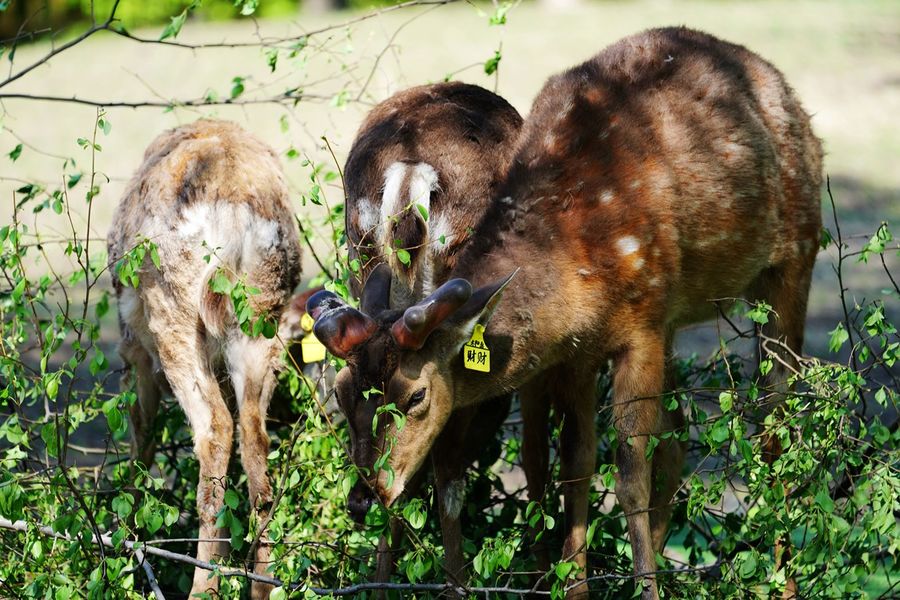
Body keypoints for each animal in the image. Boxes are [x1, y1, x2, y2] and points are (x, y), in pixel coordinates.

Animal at [109, 119, 302, 596]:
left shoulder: (133, 348)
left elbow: (141, 435)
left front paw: (127, 541)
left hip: (172, 310)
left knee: (216, 428)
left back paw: (204, 585)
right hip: (261, 318)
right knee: (254, 435)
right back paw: (261, 583)